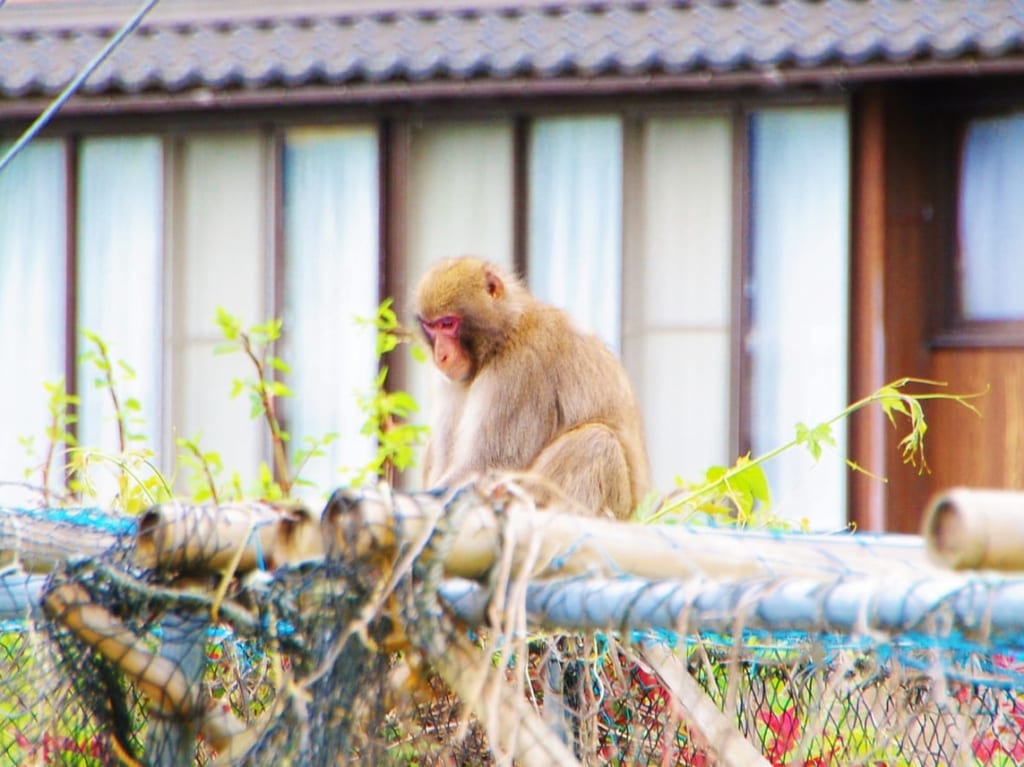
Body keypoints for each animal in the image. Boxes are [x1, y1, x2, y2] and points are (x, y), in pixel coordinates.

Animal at [413, 253, 647, 518]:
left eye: (448, 324)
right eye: (431, 327)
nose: (441, 356)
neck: (504, 334)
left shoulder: (519, 370)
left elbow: (490, 464)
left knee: (596, 441)